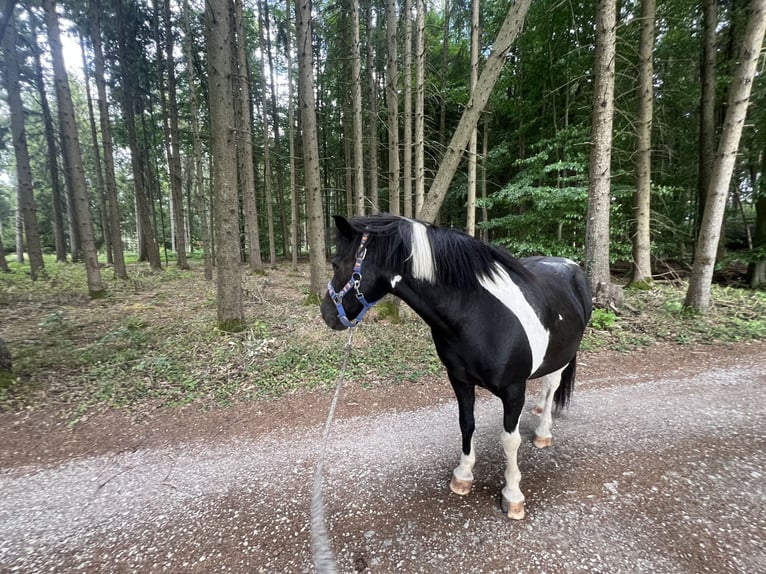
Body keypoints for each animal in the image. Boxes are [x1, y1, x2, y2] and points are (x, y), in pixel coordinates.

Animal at [320, 214, 592, 519]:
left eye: (336, 264)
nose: (326, 313)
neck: (478, 314)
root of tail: (569, 265)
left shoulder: (513, 390)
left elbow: (510, 441)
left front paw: (512, 495)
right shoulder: (459, 380)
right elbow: (466, 424)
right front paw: (463, 475)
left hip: (564, 357)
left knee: (552, 384)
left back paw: (543, 432)